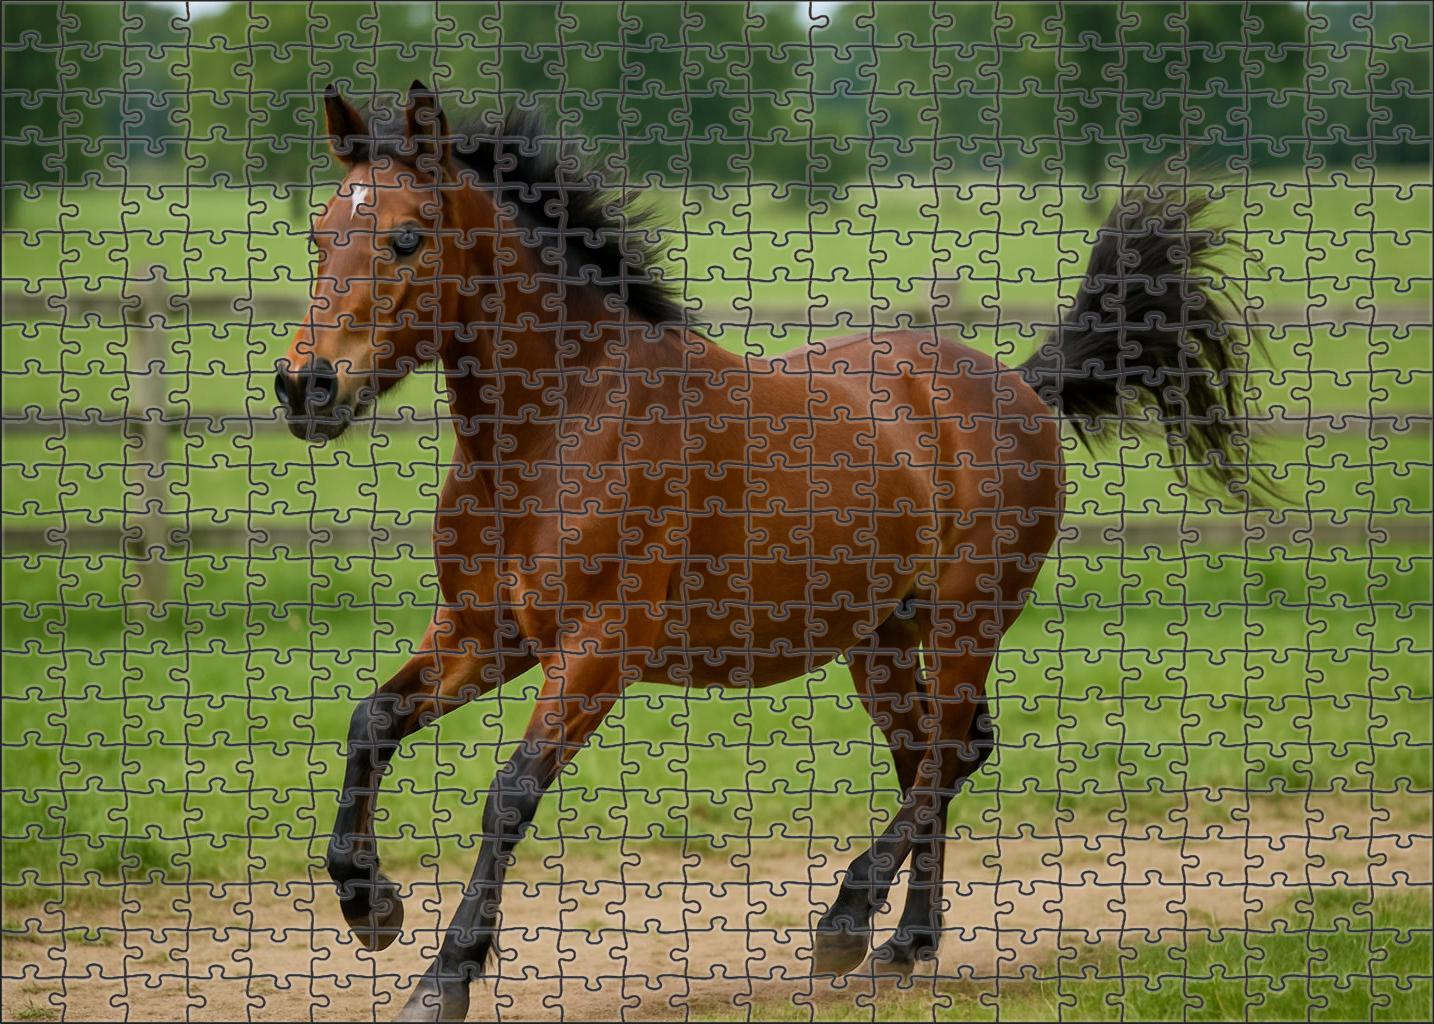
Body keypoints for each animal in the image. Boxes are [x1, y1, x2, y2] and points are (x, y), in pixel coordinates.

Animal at [275, 81, 1260, 1021]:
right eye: (322, 235)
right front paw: (370, 907)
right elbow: (371, 721)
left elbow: (509, 794)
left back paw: (849, 921)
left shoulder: (596, 650)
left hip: (966, 619)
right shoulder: (486, 633)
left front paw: (442, 979)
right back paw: (904, 944)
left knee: (951, 748)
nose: (304, 387)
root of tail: (1019, 384)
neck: (561, 425)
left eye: (406, 238)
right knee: (932, 752)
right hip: (880, 638)